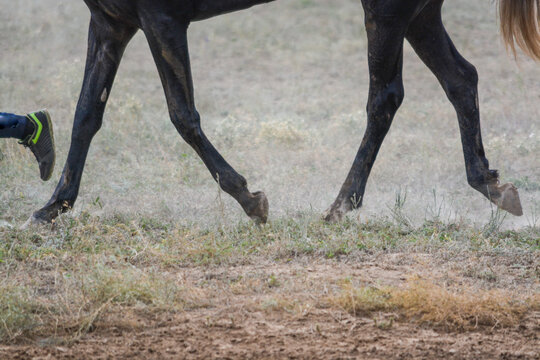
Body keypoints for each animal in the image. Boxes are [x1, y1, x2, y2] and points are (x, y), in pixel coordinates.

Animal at [30, 0, 540, 225]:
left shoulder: (161, 20)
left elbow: (182, 115)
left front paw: (250, 200)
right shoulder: (111, 23)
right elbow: (85, 115)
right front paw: (52, 206)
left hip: (387, 11)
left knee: (385, 98)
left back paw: (340, 206)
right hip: (419, 13)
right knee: (461, 79)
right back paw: (493, 186)